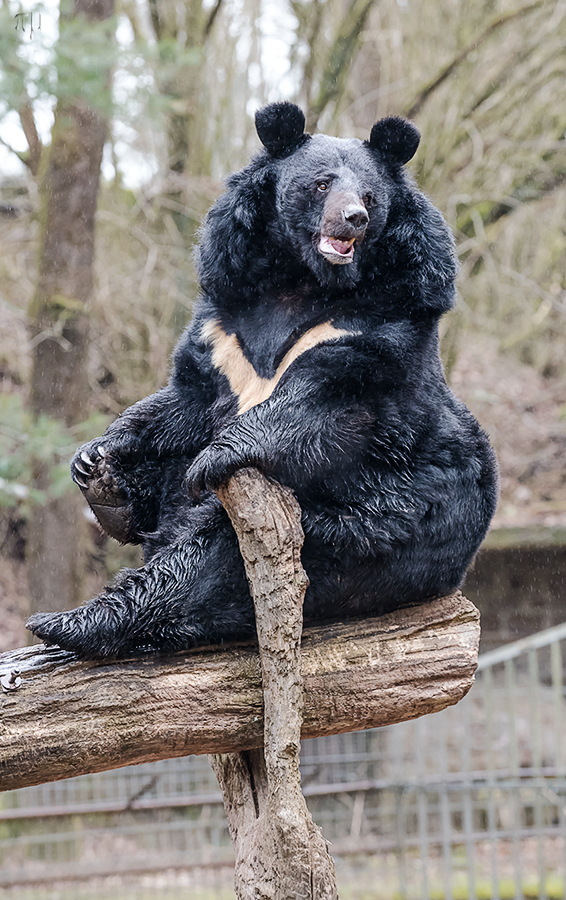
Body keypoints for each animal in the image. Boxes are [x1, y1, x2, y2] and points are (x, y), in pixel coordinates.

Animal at [26, 102, 500, 656]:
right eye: (321, 184)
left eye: (369, 196)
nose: (354, 219)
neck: (303, 280)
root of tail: (454, 573)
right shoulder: (223, 327)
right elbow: (182, 401)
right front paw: (94, 455)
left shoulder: (382, 325)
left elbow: (323, 407)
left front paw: (213, 456)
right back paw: (109, 495)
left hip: (368, 527)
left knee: (208, 560)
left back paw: (72, 622)